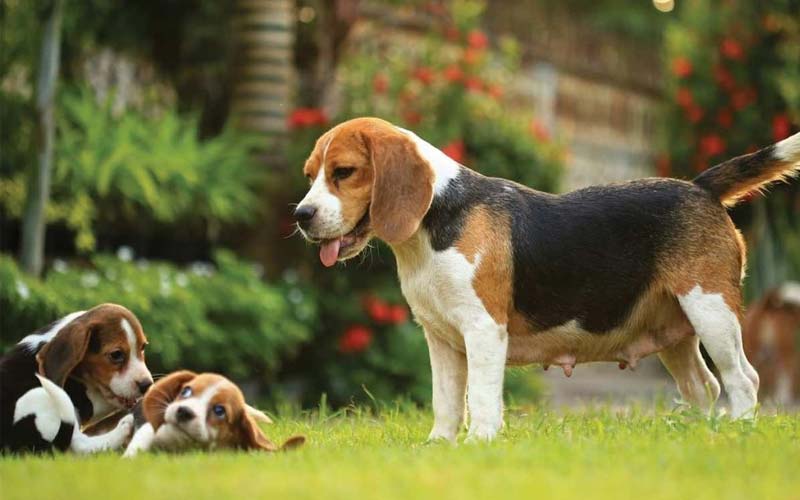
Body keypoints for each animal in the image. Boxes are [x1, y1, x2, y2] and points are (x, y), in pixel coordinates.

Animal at [0, 304, 152, 454]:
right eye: (116, 354)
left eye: (143, 347)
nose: (147, 385)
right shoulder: (84, 400)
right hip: (40, 395)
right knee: (79, 444)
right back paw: (123, 427)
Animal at [294, 117, 800, 442]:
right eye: (310, 175)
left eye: (344, 173)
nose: (302, 215)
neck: (435, 219)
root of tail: (700, 186)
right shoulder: (440, 338)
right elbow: (446, 400)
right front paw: (439, 446)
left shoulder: (483, 330)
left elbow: (481, 396)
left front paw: (479, 443)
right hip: (679, 330)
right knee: (704, 387)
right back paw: (699, 433)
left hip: (711, 309)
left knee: (743, 379)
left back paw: (737, 430)